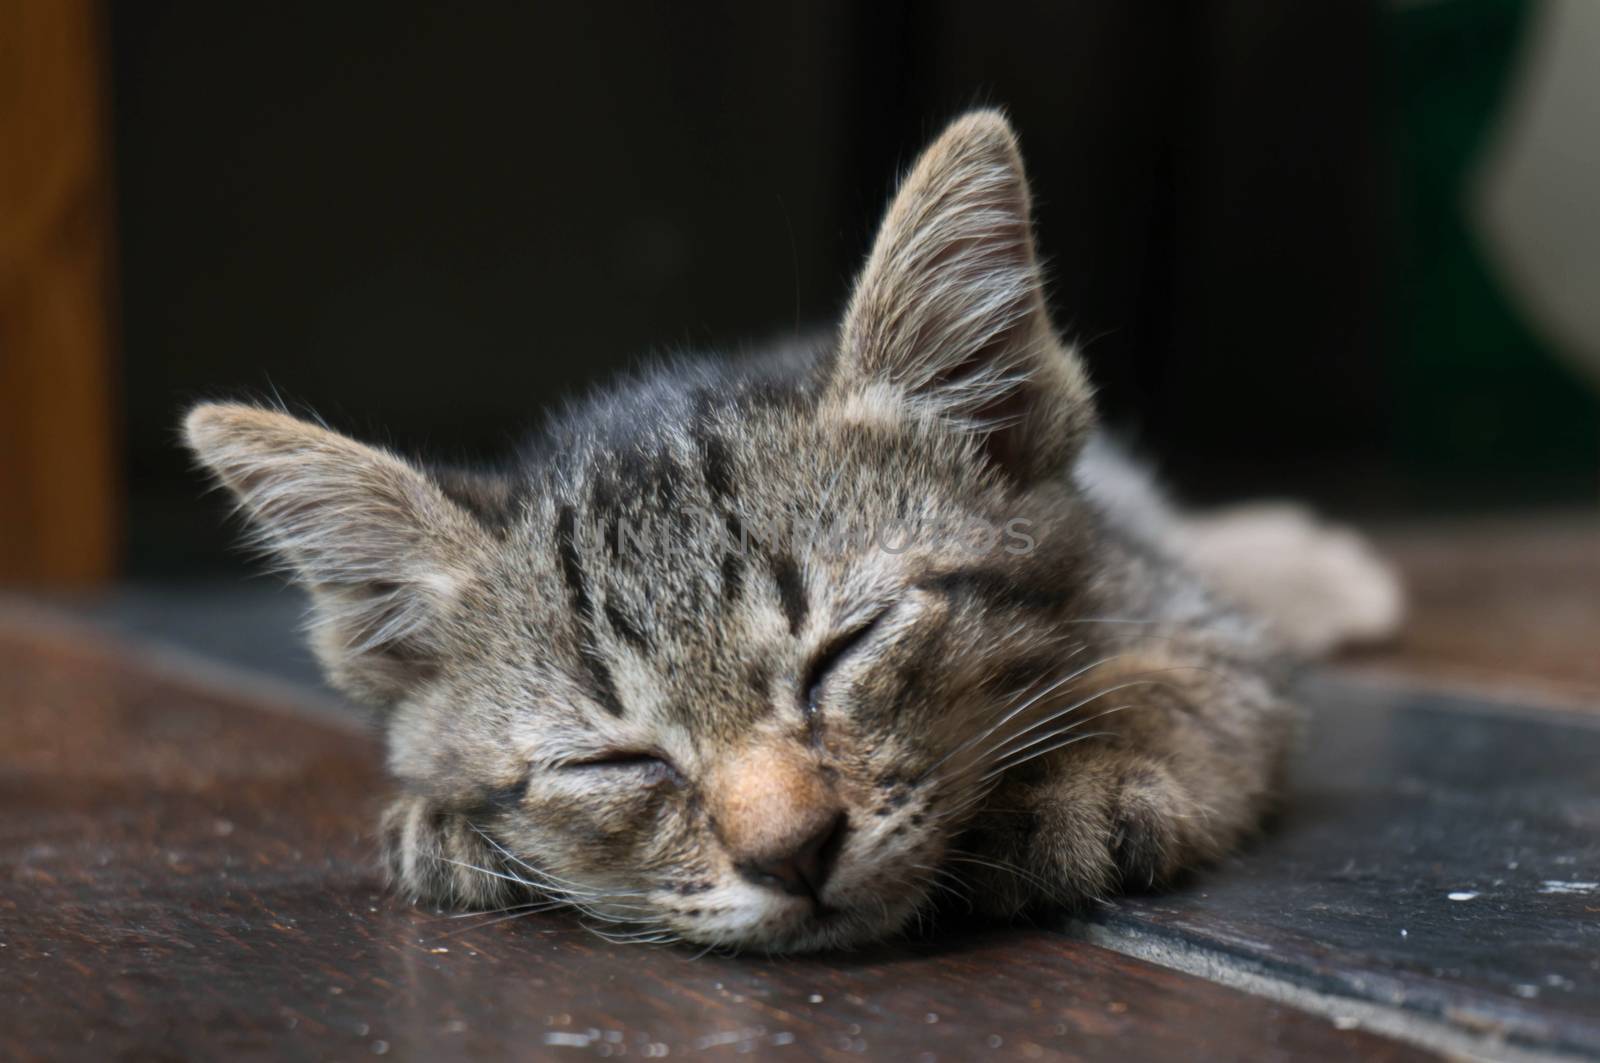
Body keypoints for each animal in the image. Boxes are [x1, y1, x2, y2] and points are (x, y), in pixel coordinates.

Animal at [181, 112, 1395, 947]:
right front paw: (446, 823)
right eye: (613, 759)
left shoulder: (1189, 618)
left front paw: (1081, 769)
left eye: (847, 649)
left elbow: (1190, 676)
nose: (793, 853)